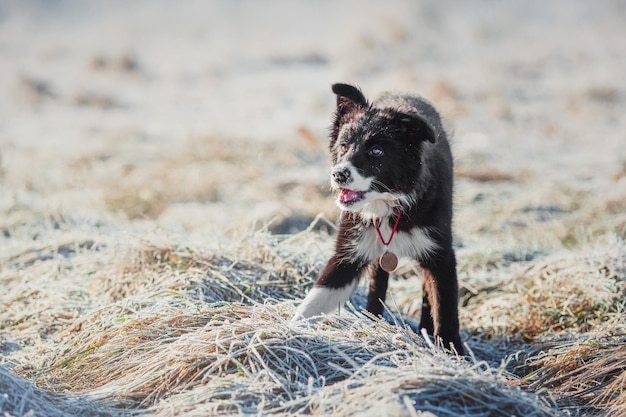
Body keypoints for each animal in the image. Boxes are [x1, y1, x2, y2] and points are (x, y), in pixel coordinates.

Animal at [292, 83, 464, 352]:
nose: (338, 174)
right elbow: (316, 298)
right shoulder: (349, 252)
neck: (389, 209)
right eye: (343, 146)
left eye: (376, 151)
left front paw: (452, 353)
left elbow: (445, 309)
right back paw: (373, 319)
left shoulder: (440, 253)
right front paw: (285, 330)